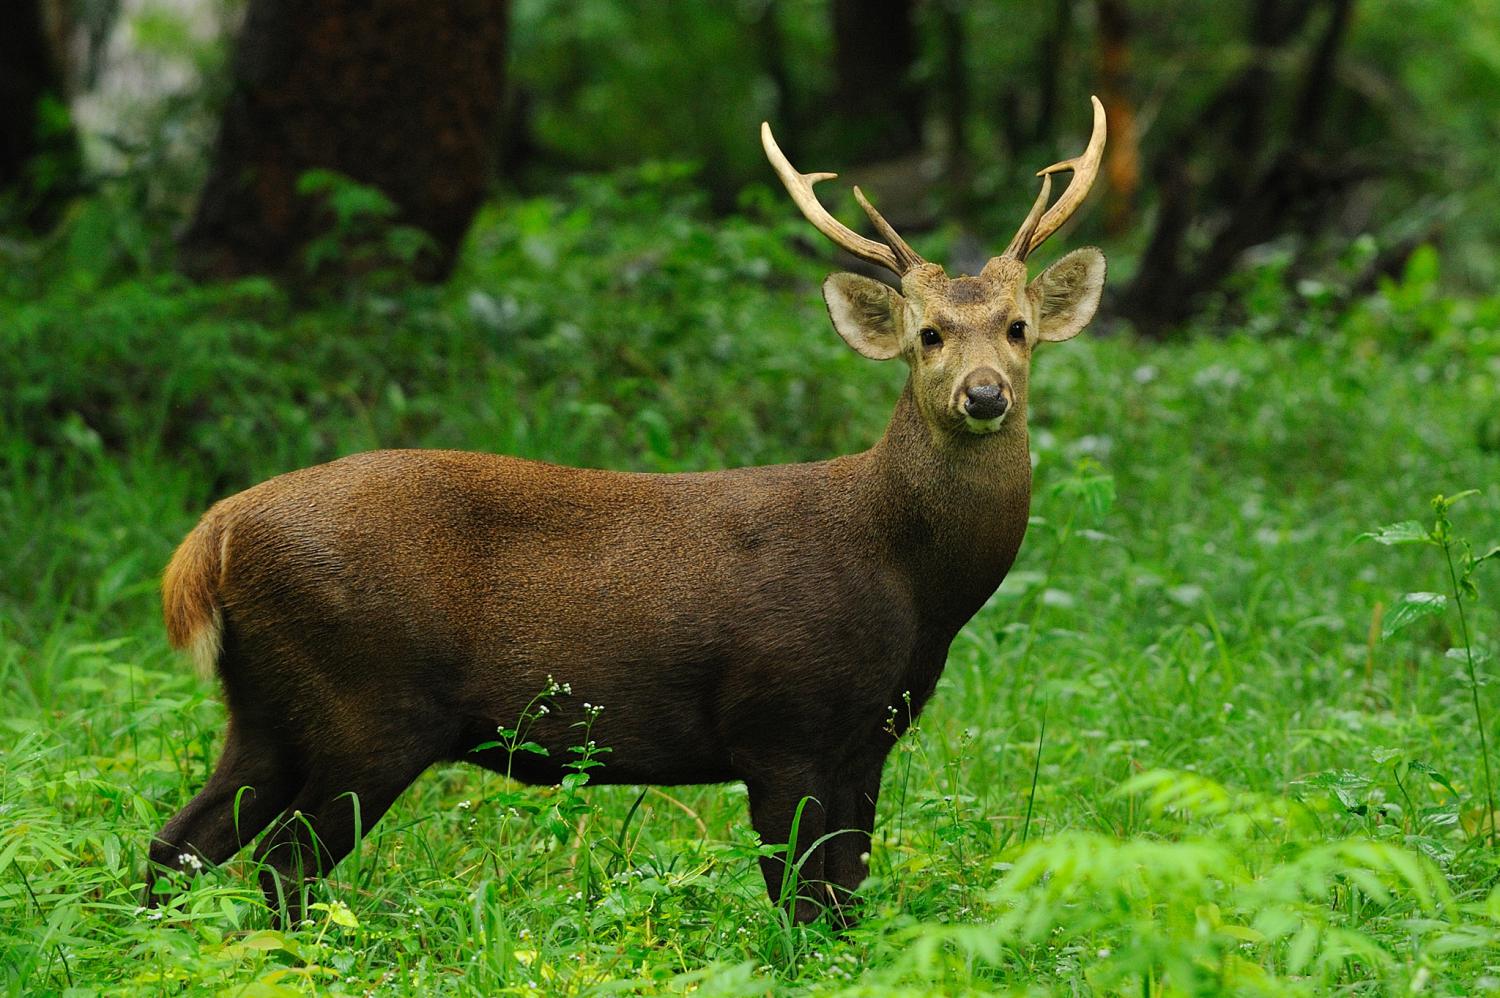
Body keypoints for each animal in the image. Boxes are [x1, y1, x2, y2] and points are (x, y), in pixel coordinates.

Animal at [149, 97, 1116, 924]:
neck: (911, 583)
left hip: (267, 702)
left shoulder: (870, 737)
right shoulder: (780, 720)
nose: (984, 394)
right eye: (928, 335)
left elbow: (847, 897)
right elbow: (802, 902)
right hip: (368, 698)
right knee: (282, 860)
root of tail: (216, 531)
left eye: (1020, 327)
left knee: (180, 842)